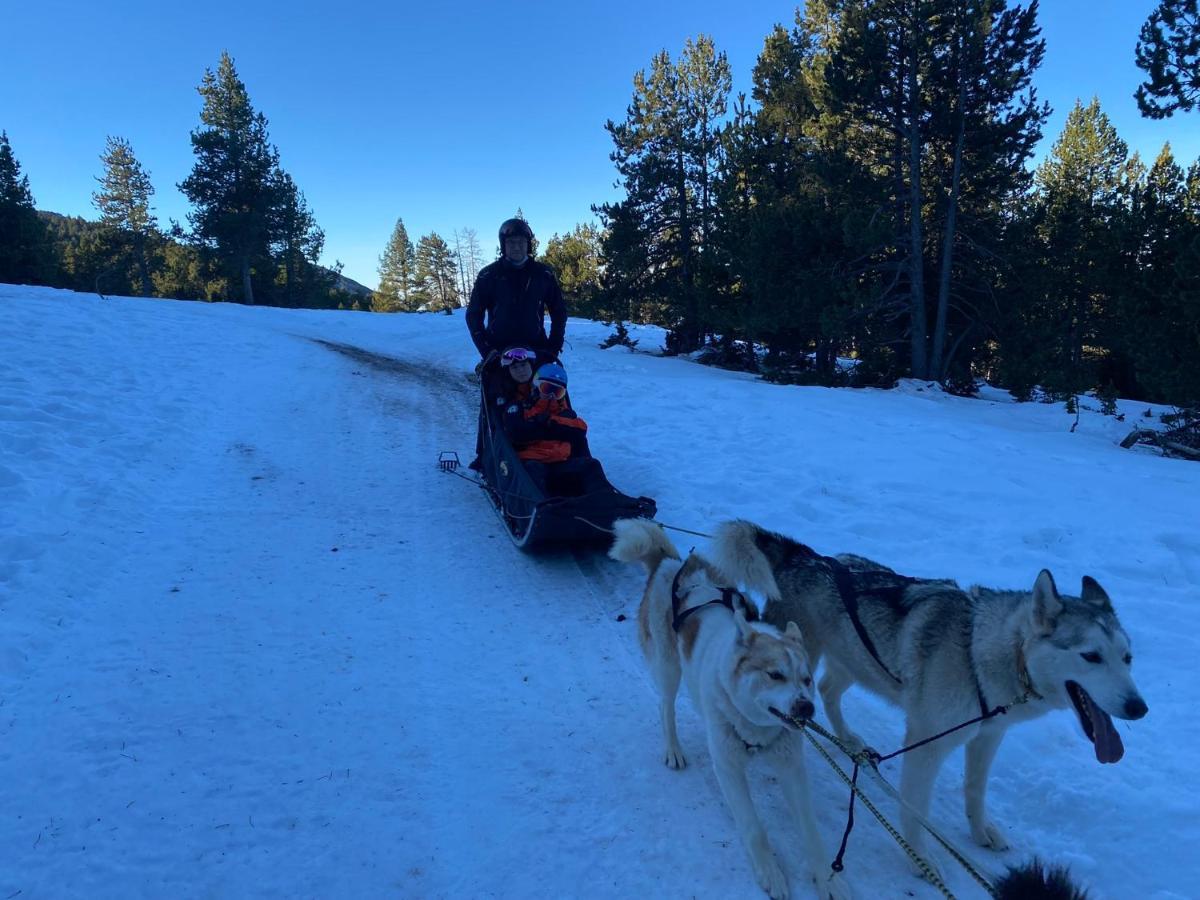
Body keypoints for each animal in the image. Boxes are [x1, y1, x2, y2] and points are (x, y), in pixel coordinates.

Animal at [609, 520, 854, 900]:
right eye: (775, 674)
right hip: (667, 669)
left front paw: (827, 880)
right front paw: (771, 873)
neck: (756, 728)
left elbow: (811, 832)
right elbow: (754, 828)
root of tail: (669, 564)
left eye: (807, 678)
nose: (806, 708)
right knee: (666, 707)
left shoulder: (792, 768)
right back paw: (673, 748)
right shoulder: (728, 769)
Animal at [705, 518, 1147, 878]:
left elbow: (975, 790)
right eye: (1091, 656)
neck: (979, 650)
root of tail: (805, 555)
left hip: (855, 662)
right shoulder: (926, 745)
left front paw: (979, 830)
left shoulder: (987, 736)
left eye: (1127, 658)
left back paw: (848, 739)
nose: (1139, 708)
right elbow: (914, 809)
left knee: (829, 692)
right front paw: (919, 856)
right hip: (812, 661)